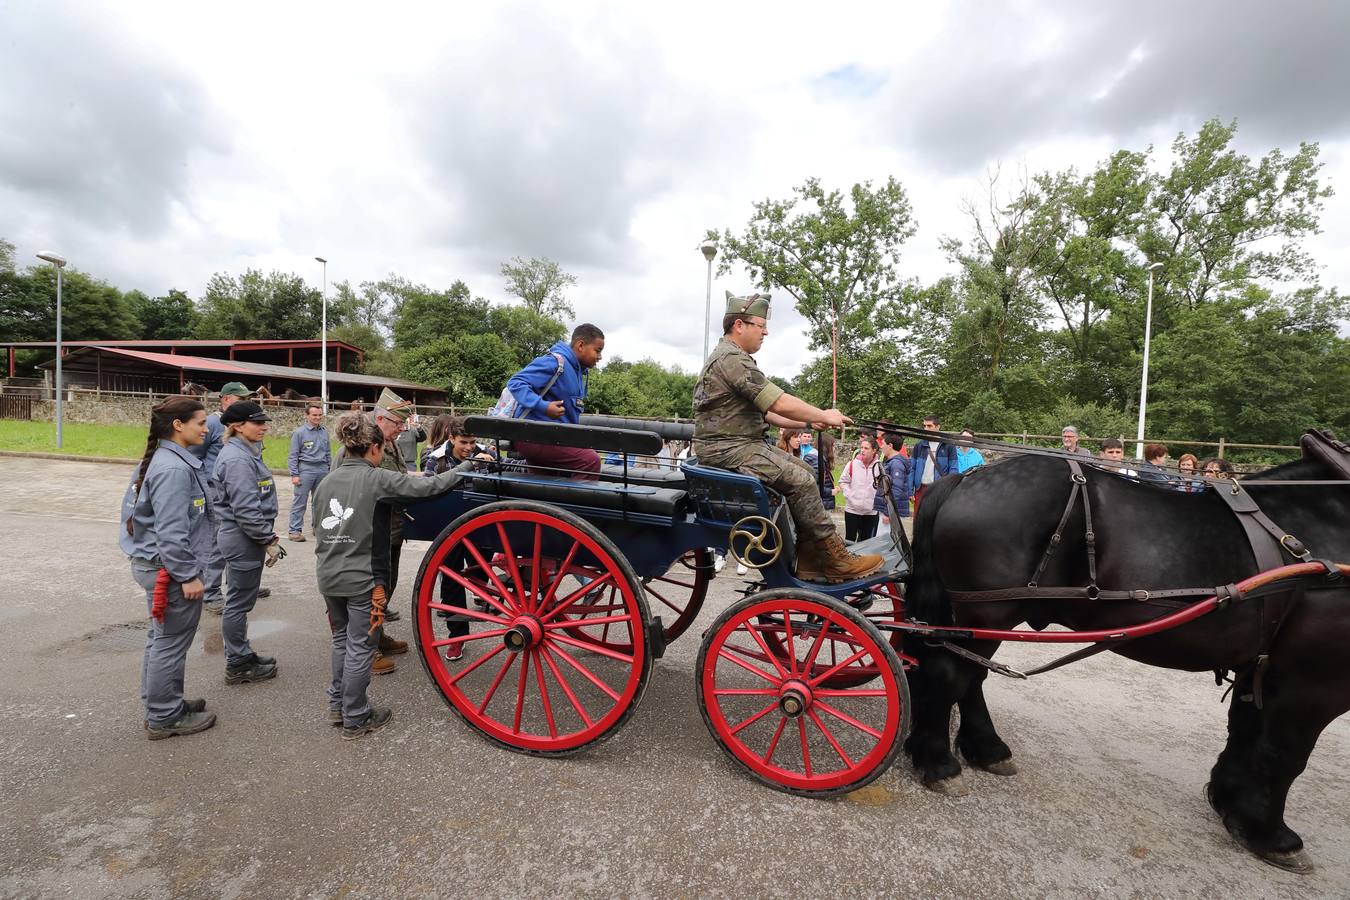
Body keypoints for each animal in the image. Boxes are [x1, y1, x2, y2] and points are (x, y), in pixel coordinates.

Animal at [907, 453, 1350, 874]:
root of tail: (967, 476)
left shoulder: (1262, 665)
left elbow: (1245, 732)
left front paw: (1231, 802)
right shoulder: (1313, 682)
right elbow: (1284, 754)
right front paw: (1272, 834)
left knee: (970, 677)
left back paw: (985, 748)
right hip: (989, 614)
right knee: (950, 676)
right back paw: (938, 764)